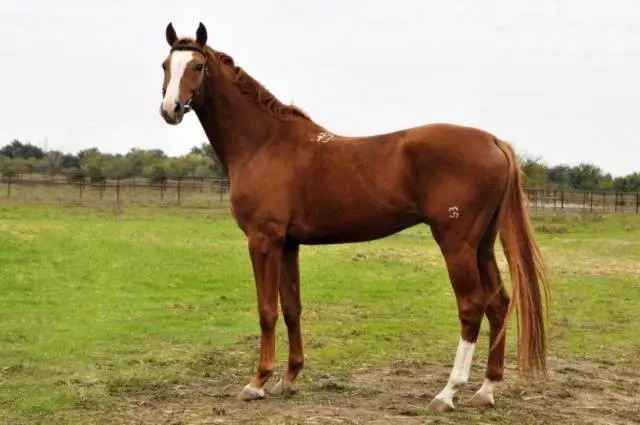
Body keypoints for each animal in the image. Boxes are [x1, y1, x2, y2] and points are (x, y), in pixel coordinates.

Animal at [158, 21, 548, 410]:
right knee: (499, 303)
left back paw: (448, 392)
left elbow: (267, 309)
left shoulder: (263, 240)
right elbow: (292, 308)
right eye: (165, 65)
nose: (170, 109)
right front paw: (289, 379)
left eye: (197, 66)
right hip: (482, 244)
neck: (265, 143)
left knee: (472, 305)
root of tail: (495, 142)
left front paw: (257, 382)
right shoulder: (288, 245)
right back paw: (486, 390)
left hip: (456, 244)